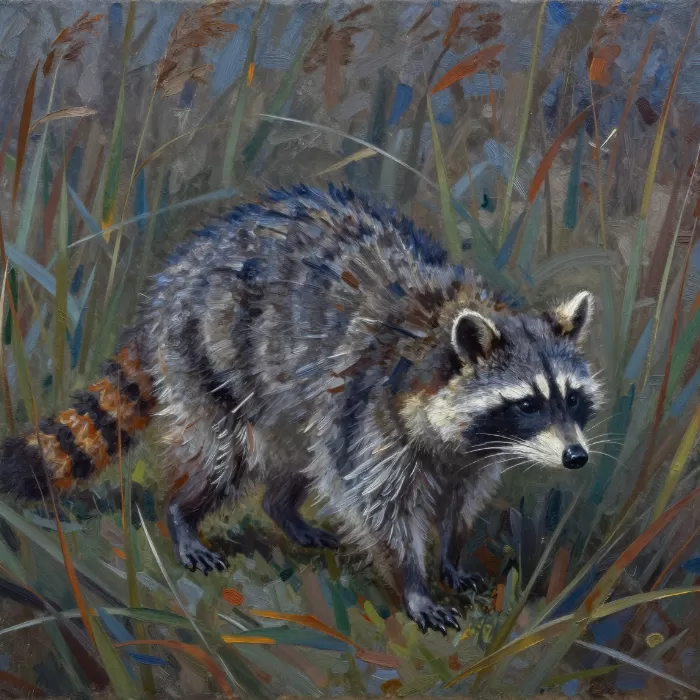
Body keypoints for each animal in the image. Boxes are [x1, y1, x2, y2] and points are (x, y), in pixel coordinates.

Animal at [0, 184, 601, 634]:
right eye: (527, 404)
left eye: (571, 398)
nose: (576, 458)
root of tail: (174, 277)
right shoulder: (373, 410)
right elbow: (377, 502)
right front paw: (413, 582)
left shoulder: (470, 455)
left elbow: (459, 500)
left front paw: (451, 556)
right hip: (208, 356)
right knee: (224, 455)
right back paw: (183, 513)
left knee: (298, 455)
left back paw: (282, 508)